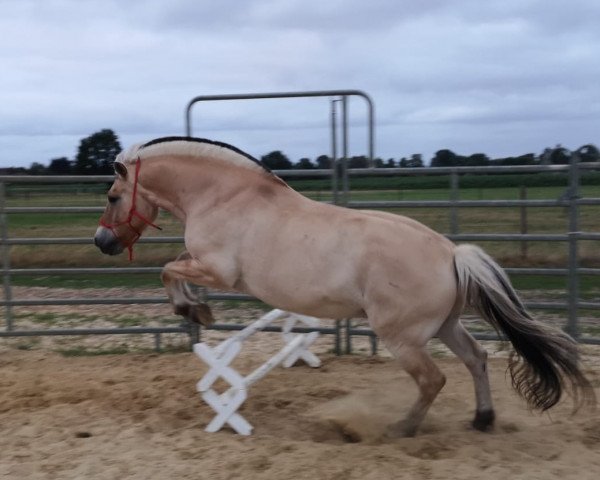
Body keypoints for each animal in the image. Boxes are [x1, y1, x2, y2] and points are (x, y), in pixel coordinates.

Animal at [95, 136, 596, 438]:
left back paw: (402, 429)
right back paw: (482, 419)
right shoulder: (204, 264)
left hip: (402, 336)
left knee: (433, 379)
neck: (224, 196)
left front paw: (194, 312)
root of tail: (450, 254)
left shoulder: (218, 271)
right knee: (476, 360)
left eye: (113, 196)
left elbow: (168, 270)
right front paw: (194, 311)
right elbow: (174, 266)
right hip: (443, 326)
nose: (102, 243)